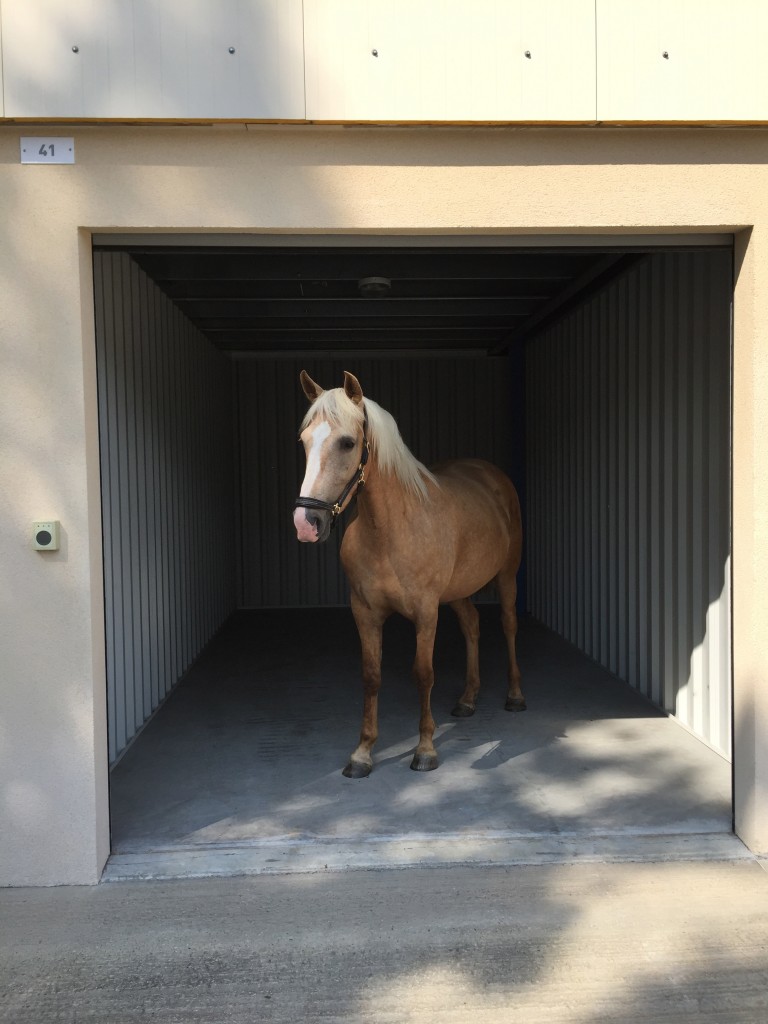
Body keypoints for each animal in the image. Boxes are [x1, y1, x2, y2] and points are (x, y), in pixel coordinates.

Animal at [290, 368, 528, 774]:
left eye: (348, 443)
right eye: (305, 441)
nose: (307, 523)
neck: (389, 530)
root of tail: (491, 475)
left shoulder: (426, 612)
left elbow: (423, 674)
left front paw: (425, 749)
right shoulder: (364, 611)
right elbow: (371, 676)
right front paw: (362, 752)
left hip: (507, 576)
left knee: (509, 626)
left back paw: (514, 695)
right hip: (459, 591)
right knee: (472, 626)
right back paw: (467, 699)